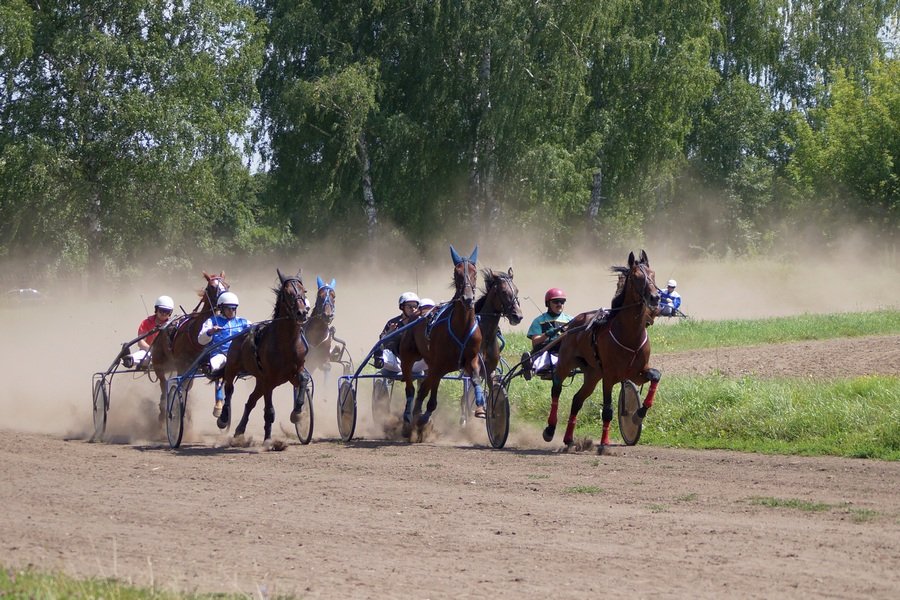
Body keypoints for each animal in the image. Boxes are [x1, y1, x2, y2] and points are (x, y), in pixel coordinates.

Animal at [150, 272, 229, 422]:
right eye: (212, 286)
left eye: (227, 286)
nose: (225, 300)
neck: (195, 337)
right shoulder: (182, 366)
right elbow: (179, 387)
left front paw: (217, 408)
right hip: (159, 364)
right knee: (163, 384)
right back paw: (162, 410)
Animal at [220, 268, 312, 440]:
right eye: (287, 292)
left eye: (304, 291)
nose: (302, 312)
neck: (286, 343)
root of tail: (240, 334)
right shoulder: (269, 379)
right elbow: (269, 411)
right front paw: (268, 439)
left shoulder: (294, 372)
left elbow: (303, 379)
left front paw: (297, 413)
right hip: (233, 367)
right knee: (229, 389)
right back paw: (223, 418)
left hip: (260, 380)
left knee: (250, 401)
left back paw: (240, 429)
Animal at [400, 245, 486, 440]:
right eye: (457, 273)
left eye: (474, 272)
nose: (468, 298)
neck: (461, 327)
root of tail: (416, 314)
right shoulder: (439, 365)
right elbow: (431, 398)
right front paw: (422, 418)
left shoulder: (471, 359)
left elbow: (476, 378)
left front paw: (480, 407)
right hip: (409, 356)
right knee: (411, 388)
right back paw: (409, 417)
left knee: (423, 387)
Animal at [540, 248, 660, 450]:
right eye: (636, 277)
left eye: (652, 274)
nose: (655, 297)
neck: (629, 336)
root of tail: (574, 323)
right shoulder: (609, 376)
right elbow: (608, 410)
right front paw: (604, 444)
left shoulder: (636, 372)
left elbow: (656, 377)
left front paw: (638, 414)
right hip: (566, 363)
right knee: (556, 389)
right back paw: (550, 429)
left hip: (593, 373)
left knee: (577, 400)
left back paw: (569, 439)